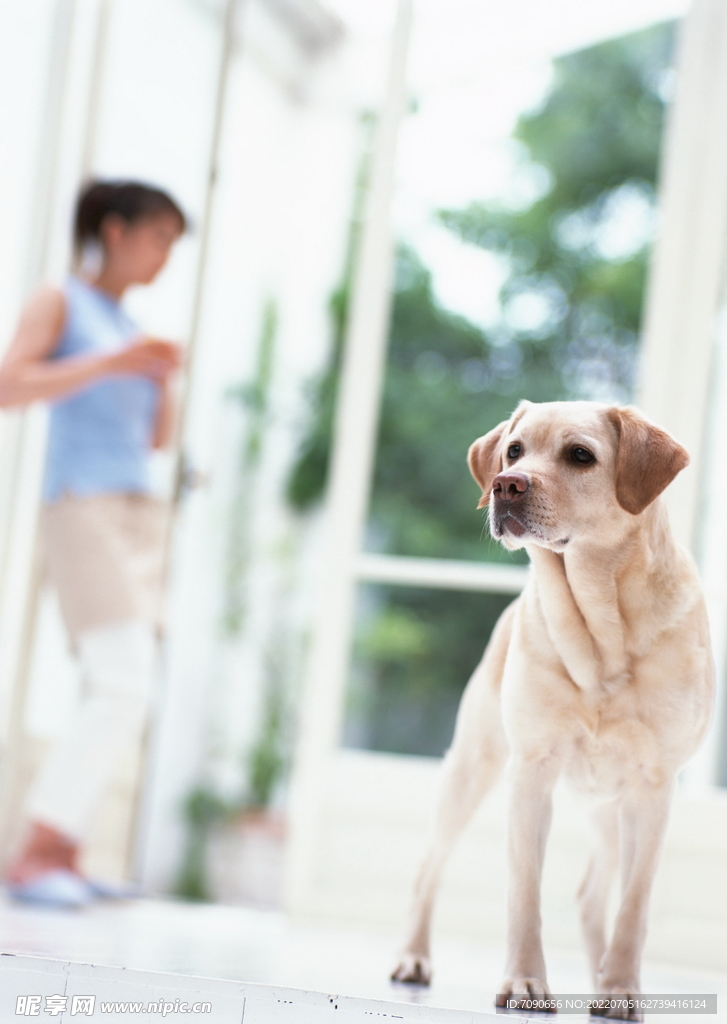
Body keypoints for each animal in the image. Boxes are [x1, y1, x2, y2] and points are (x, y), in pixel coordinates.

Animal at [395, 399, 716, 1015]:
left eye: (580, 455)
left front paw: (620, 988)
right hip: (472, 769)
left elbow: (633, 905)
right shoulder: (531, 772)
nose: (505, 484)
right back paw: (414, 958)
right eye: (513, 451)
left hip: (609, 811)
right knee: (427, 868)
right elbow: (524, 893)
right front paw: (524, 981)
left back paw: (602, 975)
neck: (601, 624)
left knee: (594, 897)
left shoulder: (653, 788)